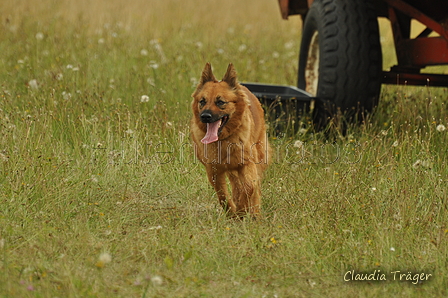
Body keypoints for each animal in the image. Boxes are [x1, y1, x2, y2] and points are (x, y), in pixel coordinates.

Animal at [189, 62, 270, 218]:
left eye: (220, 102)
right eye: (202, 101)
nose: (205, 116)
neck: (223, 140)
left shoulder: (247, 164)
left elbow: (249, 188)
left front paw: (242, 210)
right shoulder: (214, 171)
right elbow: (223, 195)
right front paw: (233, 213)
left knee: (253, 188)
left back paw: (255, 213)